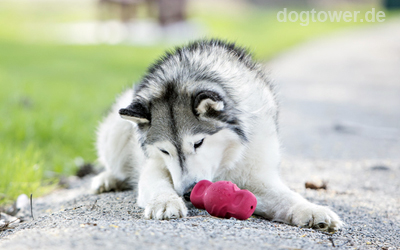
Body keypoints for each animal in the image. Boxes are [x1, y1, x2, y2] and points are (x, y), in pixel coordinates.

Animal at [92, 39, 342, 232]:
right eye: (164, 150)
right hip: (116, 132)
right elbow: (155, 183)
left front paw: (312, 210)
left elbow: (286, 197)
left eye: (199, 143)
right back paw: (107, 179)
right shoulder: (154, 165)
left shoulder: (257, 174)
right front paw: (165, 201)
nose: (188, 192)